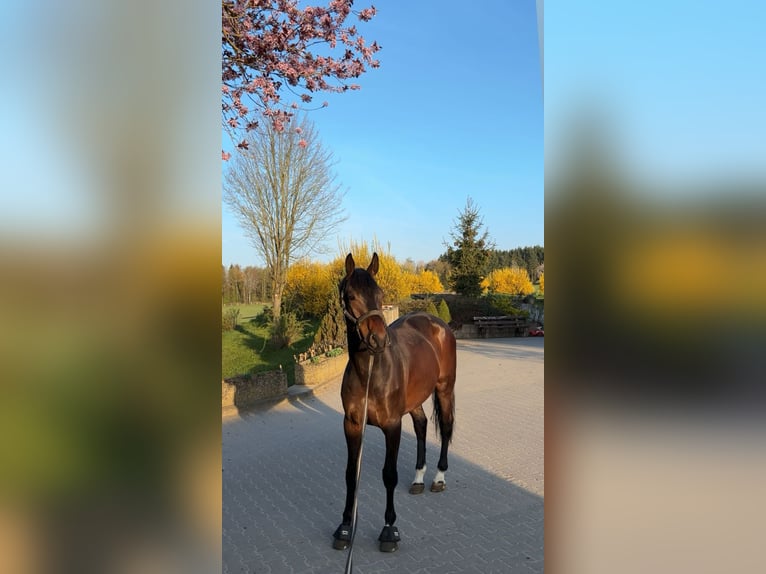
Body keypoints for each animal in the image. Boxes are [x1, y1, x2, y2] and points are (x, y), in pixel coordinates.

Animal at [332, 253, 457, 554]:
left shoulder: (392, 425)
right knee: (422, 426)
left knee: (446, 428)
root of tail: (438, 324)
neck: (370, 371)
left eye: (379, 294)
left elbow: (389, 474)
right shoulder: (352, 425)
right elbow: (351, 474)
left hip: (444, 389)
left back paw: (438, 478)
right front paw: (344, 527)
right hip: (415, 401)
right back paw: (419, 478)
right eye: (351, 296)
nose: (378, 339)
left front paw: (389, 529)